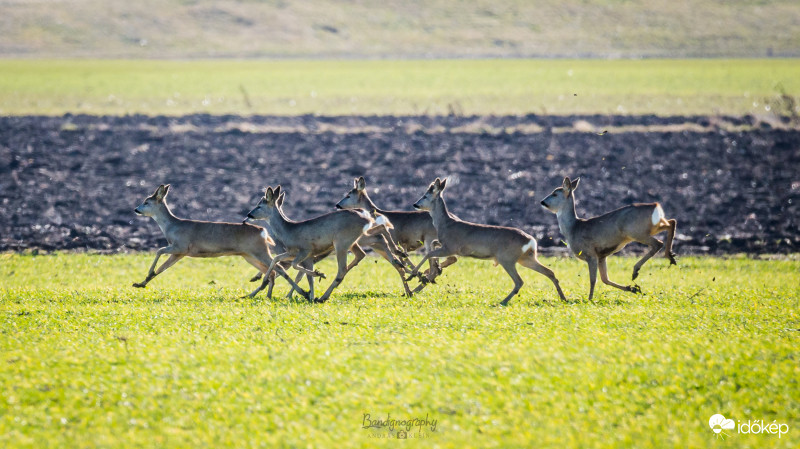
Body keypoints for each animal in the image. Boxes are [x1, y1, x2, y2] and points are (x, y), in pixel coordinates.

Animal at [131, 182, 306, 298]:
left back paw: (302, 293)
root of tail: (263, 231)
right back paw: (267, 295)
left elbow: (159, 251)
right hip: (249, 255)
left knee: (279, 268)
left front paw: (147, 275)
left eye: (146, 202)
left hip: (259, 251)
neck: (171, 226)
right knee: (272, 271)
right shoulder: (179, 253)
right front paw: (141, 283)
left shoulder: (181, 246)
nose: (136, 209)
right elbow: (162, 268)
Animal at [245, 184, 398, 302]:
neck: (288, 230)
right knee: (374, 241)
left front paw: (318, 277)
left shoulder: (306, 250)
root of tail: (365, 217)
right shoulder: (295, 252)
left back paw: (323, 297)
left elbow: (296, 267)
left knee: (343, 269)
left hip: (342, 242)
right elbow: (277, 260)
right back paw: (398, 258)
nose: (248, 214)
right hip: (355, 239)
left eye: (259, 206)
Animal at [406, 177, 568, 306]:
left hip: (507, 258)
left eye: (425, 196)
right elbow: (433, 245)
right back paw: (562, 297)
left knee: (519, 281)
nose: (415, 204)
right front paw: (434, 269)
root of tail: (531, 240)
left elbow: (428, 253)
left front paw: (413, 274)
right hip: (526, 258)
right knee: (549, 272)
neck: (445, 225)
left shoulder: (452, 246)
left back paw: (503, 301)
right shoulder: (448, 246)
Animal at [540, 177, 680, 300]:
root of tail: (656, 206)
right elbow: (605, 279)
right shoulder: (602, 256)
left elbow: (593, 279)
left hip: (635, 231)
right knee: (671, 222)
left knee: (658, 242)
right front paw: (633, 289)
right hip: (650, 227)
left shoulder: (591, 254)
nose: (542, 202)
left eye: (555, 194)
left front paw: (589, 299)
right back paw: (670, 257)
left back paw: (636, 270)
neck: (573, 228)